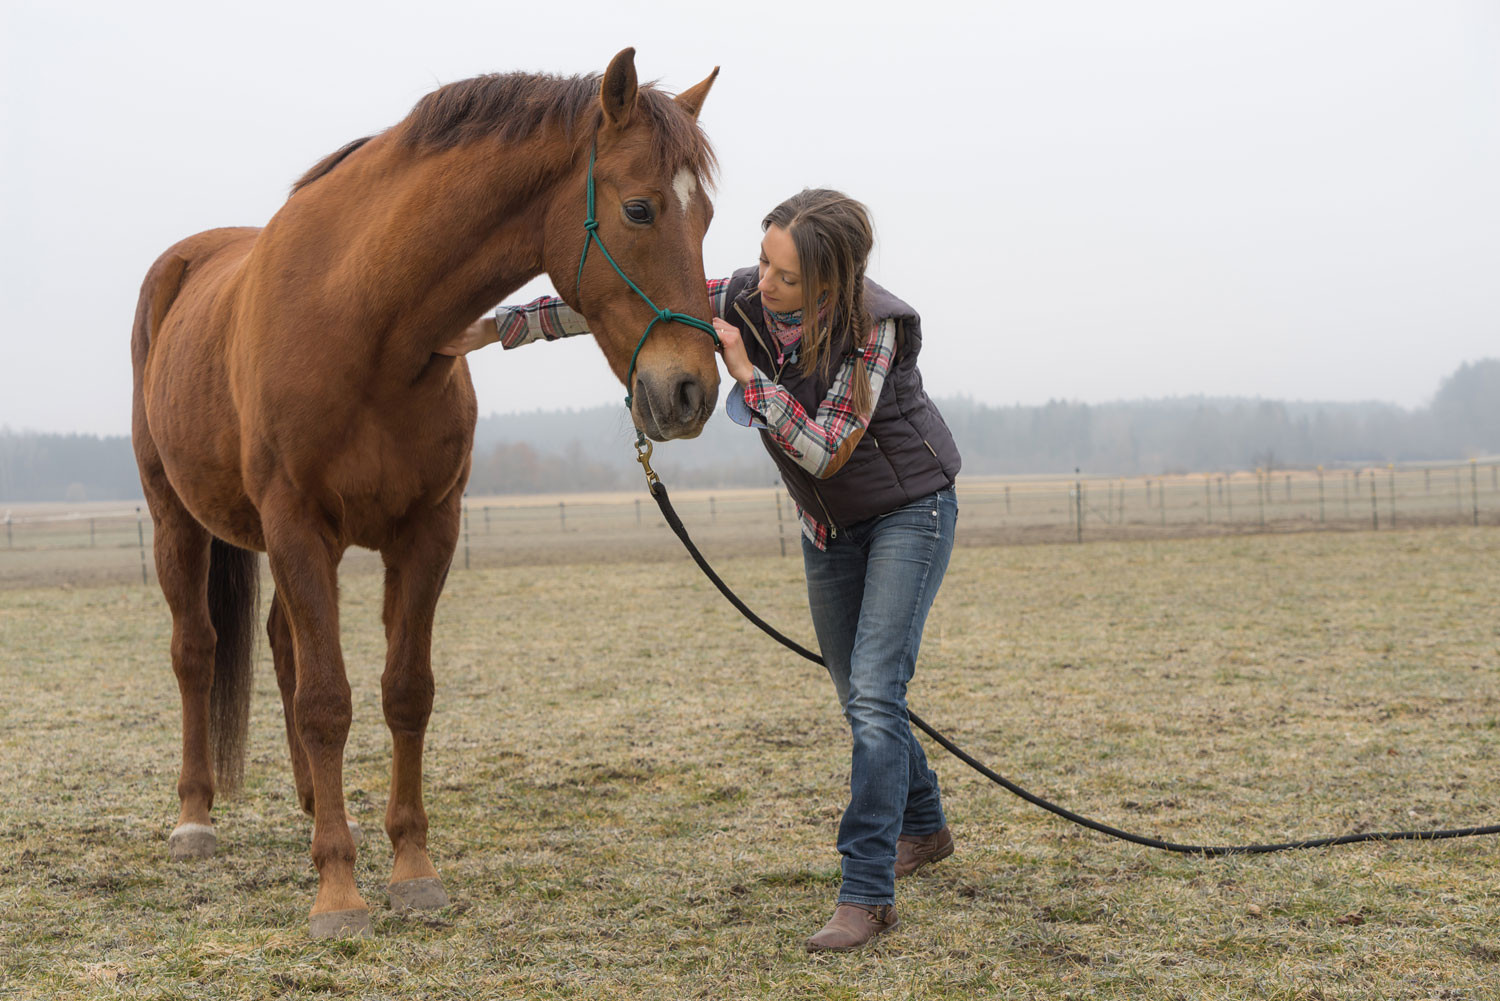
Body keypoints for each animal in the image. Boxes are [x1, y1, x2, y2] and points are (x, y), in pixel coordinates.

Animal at [130, 46, 720, 942]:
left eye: (708, 217)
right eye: (641, 208)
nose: (690, 391)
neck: (367, 318)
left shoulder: (427, 529)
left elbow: (405, 692)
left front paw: (410, 867)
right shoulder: (298, 525)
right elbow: (328, 700)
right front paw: (339, 892)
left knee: (280, 644)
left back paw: (312, 805)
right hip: (178, 520)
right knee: (197, 650)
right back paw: (196, 818)